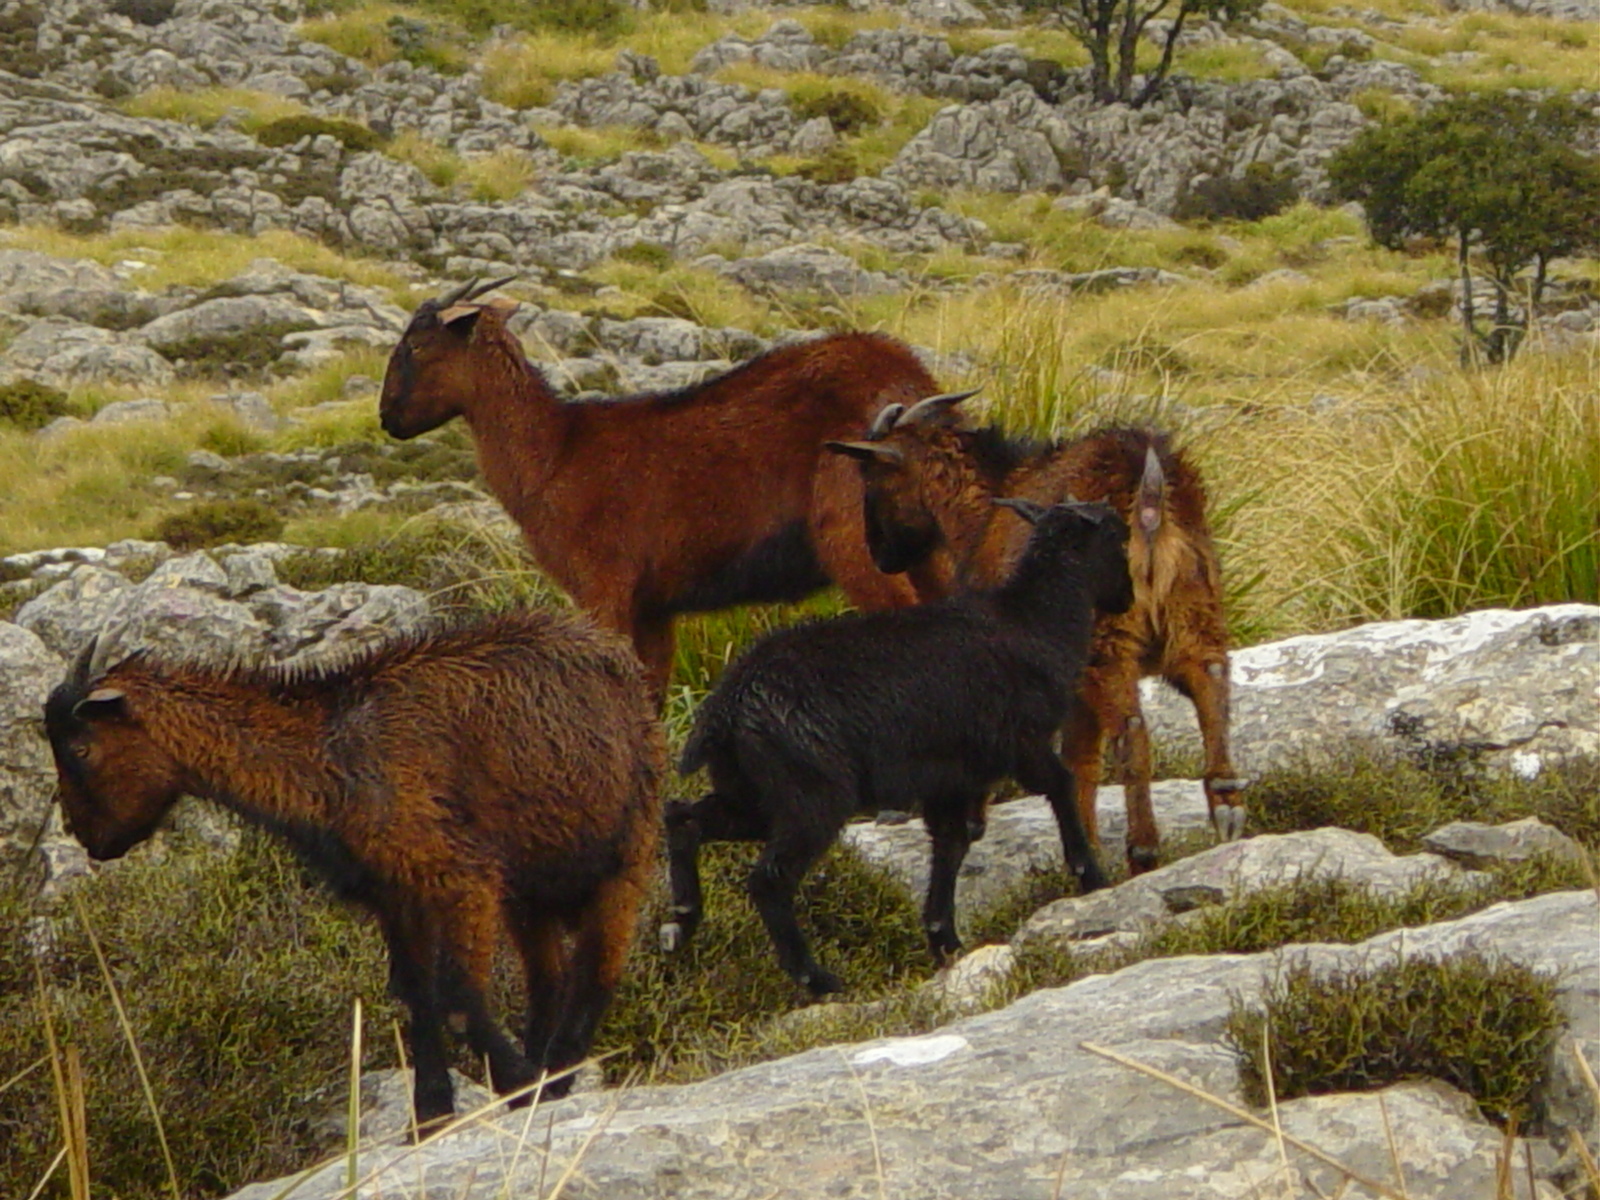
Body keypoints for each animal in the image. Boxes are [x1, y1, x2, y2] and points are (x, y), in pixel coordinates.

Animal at [45, 614, 662, 1132]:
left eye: (81, 748)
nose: (87, 838)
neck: (326, 754)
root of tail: (612, 650)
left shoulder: (460, 878)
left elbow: (458, 999)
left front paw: (519, 1085)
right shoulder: (397, 896)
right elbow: (418, 998)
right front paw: (430, 1117)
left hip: (627, 847)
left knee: (598, 969)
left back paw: (557, 1072)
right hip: (532, 890)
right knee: (549, 979)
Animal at [656, 499, 1132, 998]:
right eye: (1119, 536)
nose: (1128, 597)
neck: (1036, 620)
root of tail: (727, 705)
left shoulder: (953, 775)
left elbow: (951, 842)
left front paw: (945, 940)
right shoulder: (1022, 743)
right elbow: (1060, 785)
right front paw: (1091, 875)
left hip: (753, 791)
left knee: (684, 818)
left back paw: (681, 923)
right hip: (811, 790)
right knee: (769, 880)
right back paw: (817, 978)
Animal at [832, 395, 1241, 876]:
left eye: (873, 480)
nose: (881, 555)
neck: (984, 509)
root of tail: (1151, 498)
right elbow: (1080, 758)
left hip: (1107, 639)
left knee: (1133, 731)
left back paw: (1143, 849)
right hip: (1194, 608)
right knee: (1210, 682)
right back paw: (1227, 807)